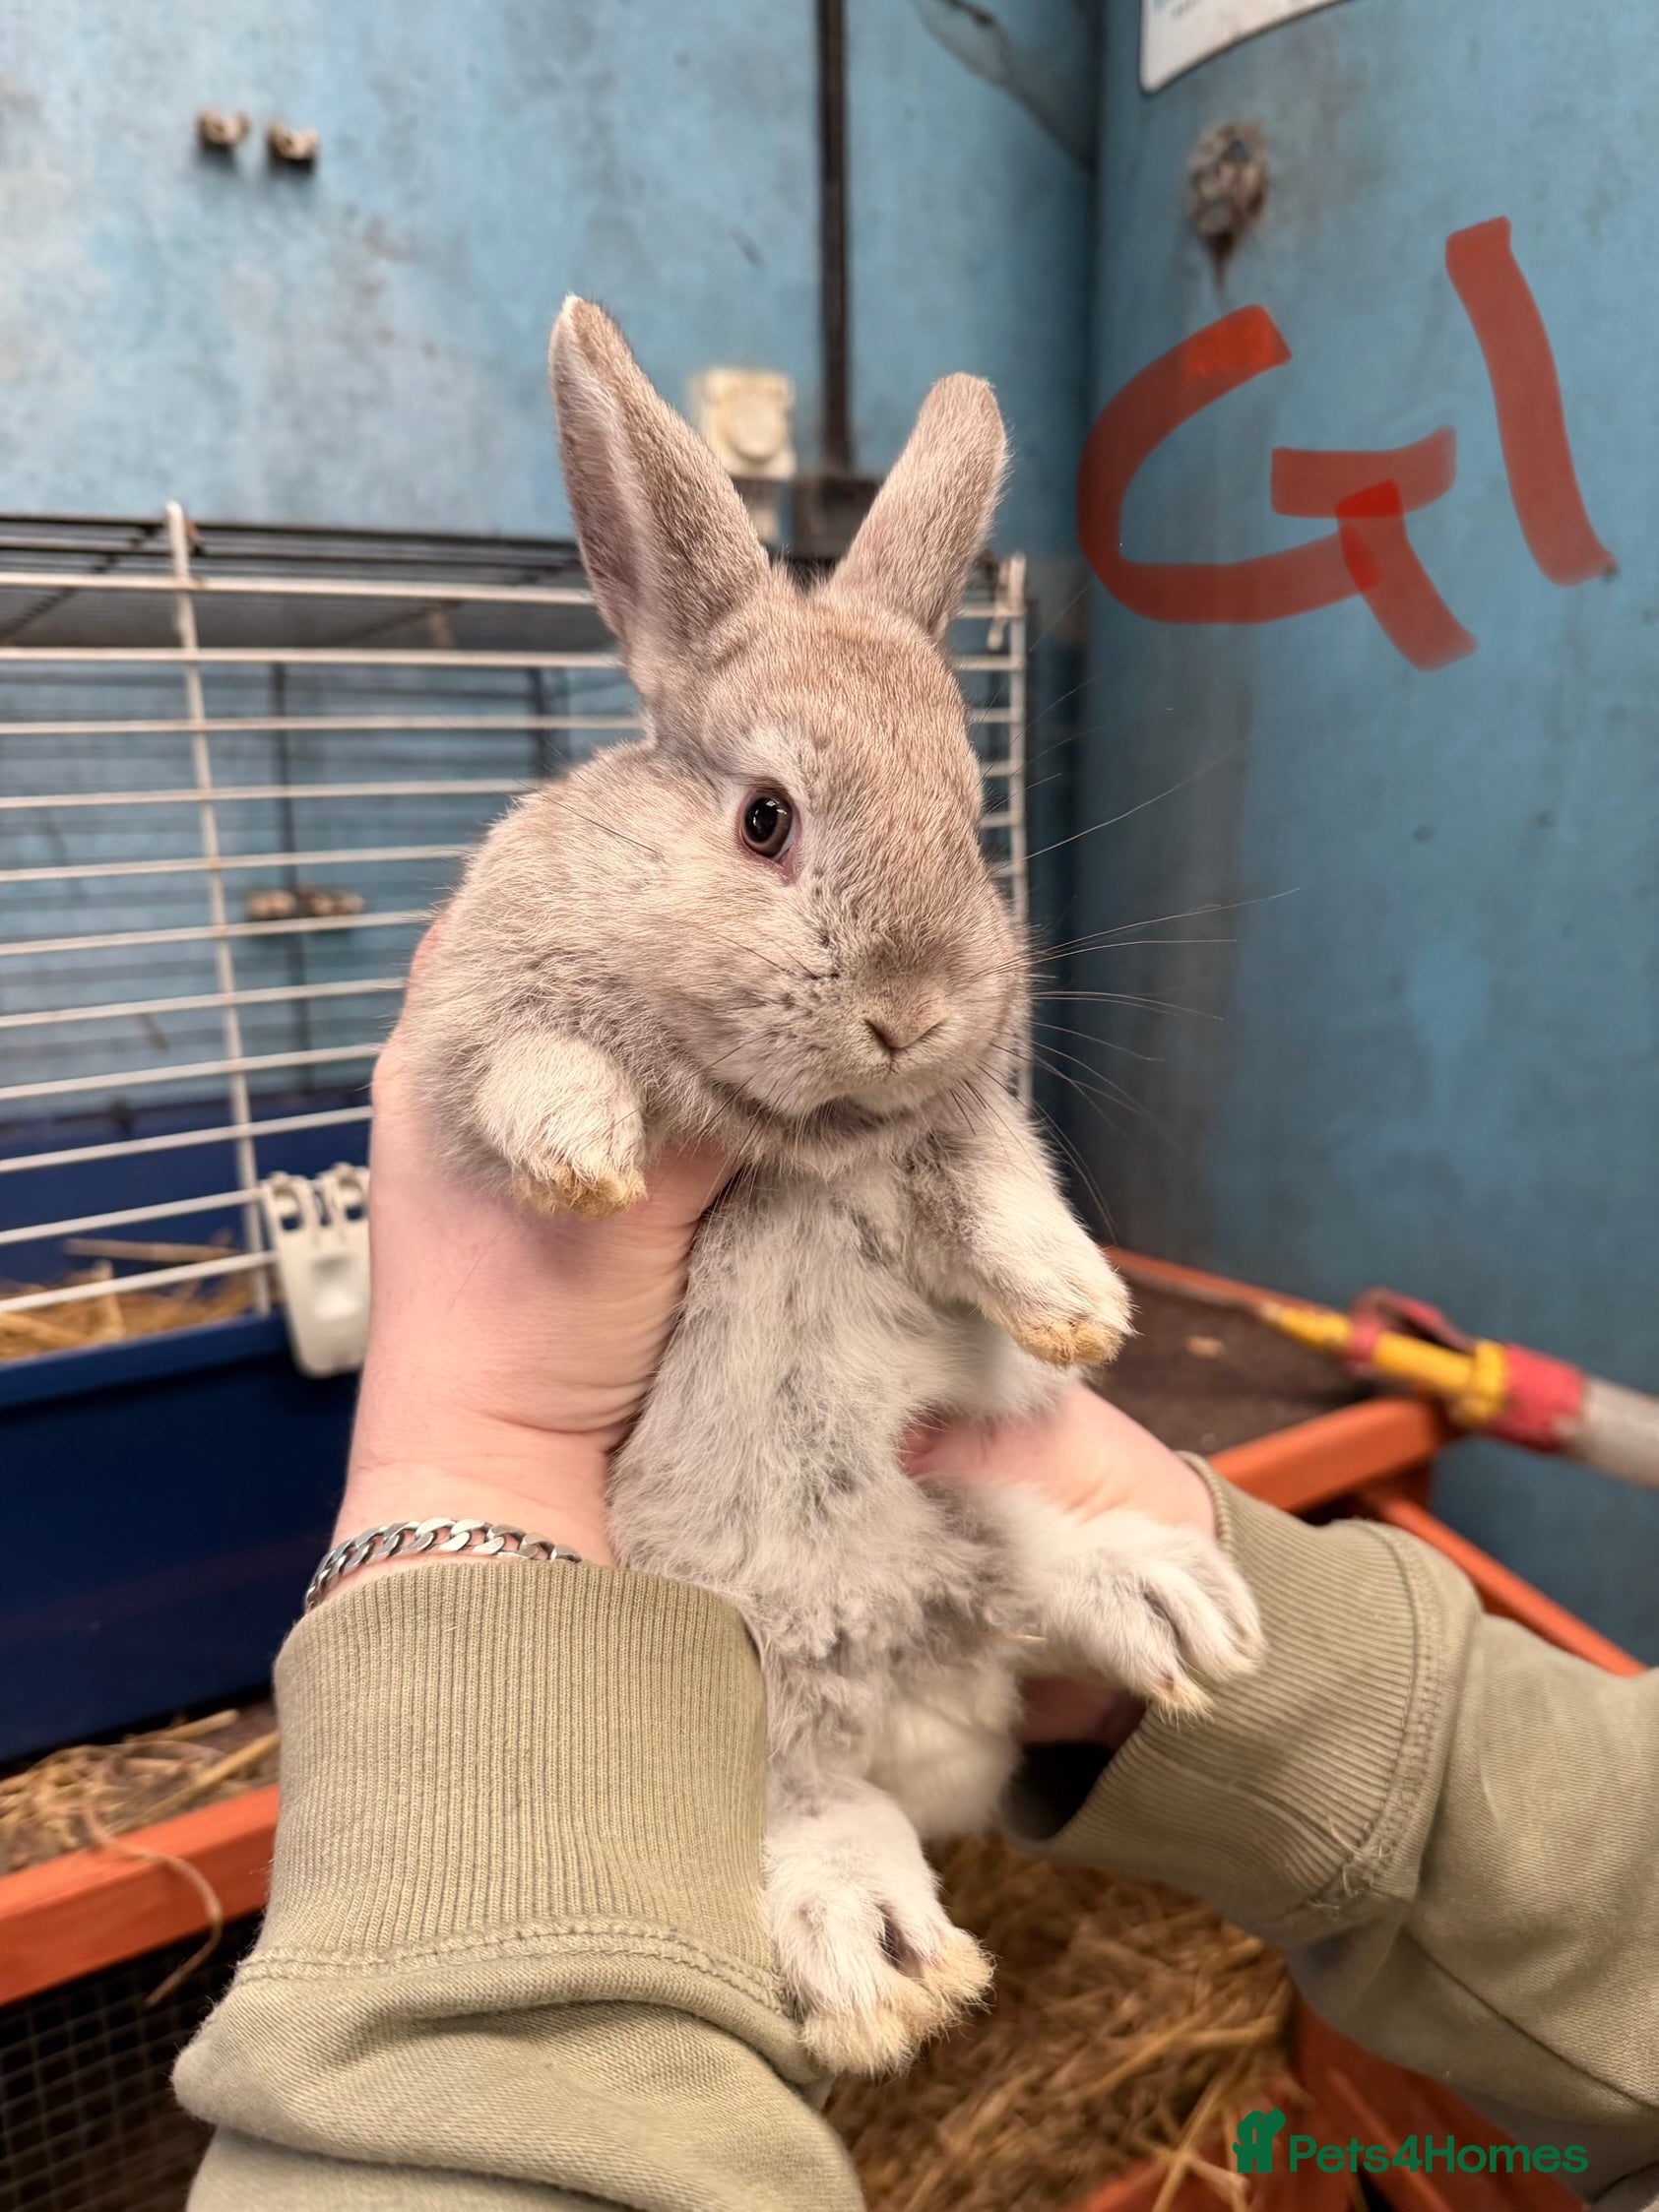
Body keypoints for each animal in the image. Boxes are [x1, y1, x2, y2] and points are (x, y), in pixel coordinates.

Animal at [402, 298, 1264, 2078]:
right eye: (764, 817)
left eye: (976, 831)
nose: (912, 1007)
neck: (796, 1133)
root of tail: (901, 1700)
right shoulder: (476, 1019)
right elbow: (529, 1064)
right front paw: (590, 1157)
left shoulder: (953, 1134)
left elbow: (995, 1190)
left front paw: (1081, 1311)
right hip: (746, 1671)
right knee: (809, 1806)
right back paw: (874, 1954)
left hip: (942, 1524)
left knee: (1018, 1568)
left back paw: (1167, 1601)